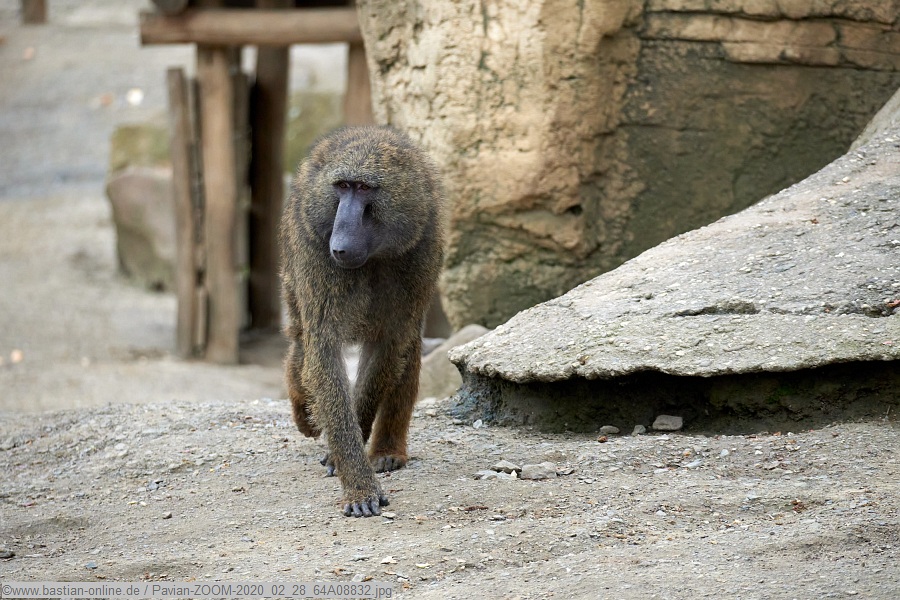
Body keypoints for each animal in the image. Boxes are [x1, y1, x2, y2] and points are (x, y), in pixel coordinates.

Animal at [279, 126, 445, 518]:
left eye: (366, 189)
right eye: (342, 186)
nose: (340, 244)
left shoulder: (420, 250)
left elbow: (388, 349)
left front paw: (349, 455)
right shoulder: (315, 252)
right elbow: (323, 353)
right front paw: (357, 482)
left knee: (409, 348)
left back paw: (387, 450)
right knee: (300, 349)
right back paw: (303, 411)